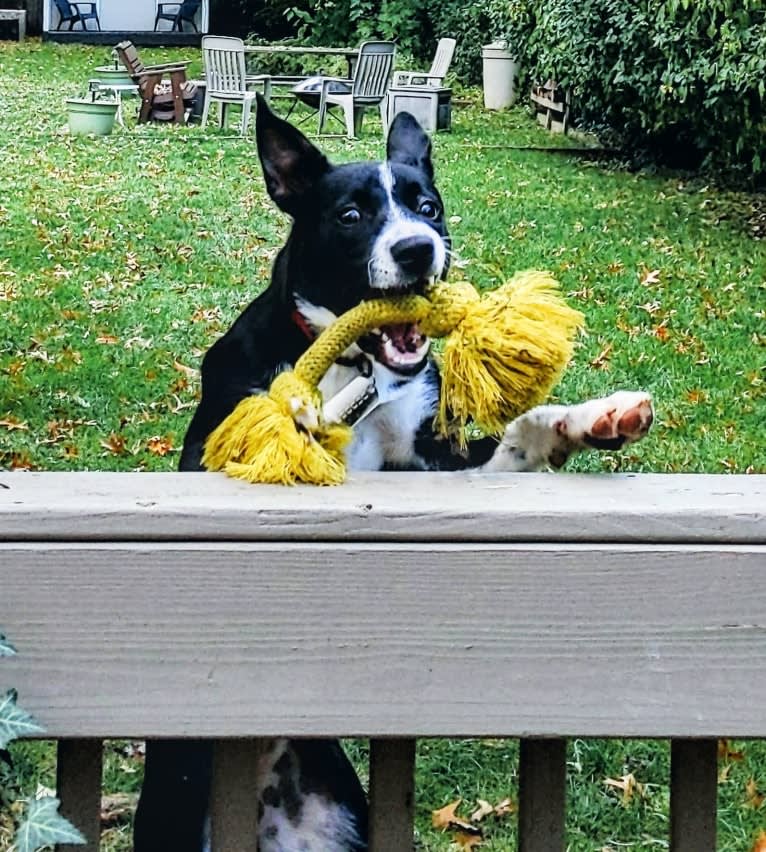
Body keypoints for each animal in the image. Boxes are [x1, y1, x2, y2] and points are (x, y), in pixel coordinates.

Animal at [134, 96, 656, 848]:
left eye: (427, 206)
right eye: (351, 214)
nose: (417, 249)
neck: (358, 368)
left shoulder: (437, 463)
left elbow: (519, 436)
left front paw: (592, 419)